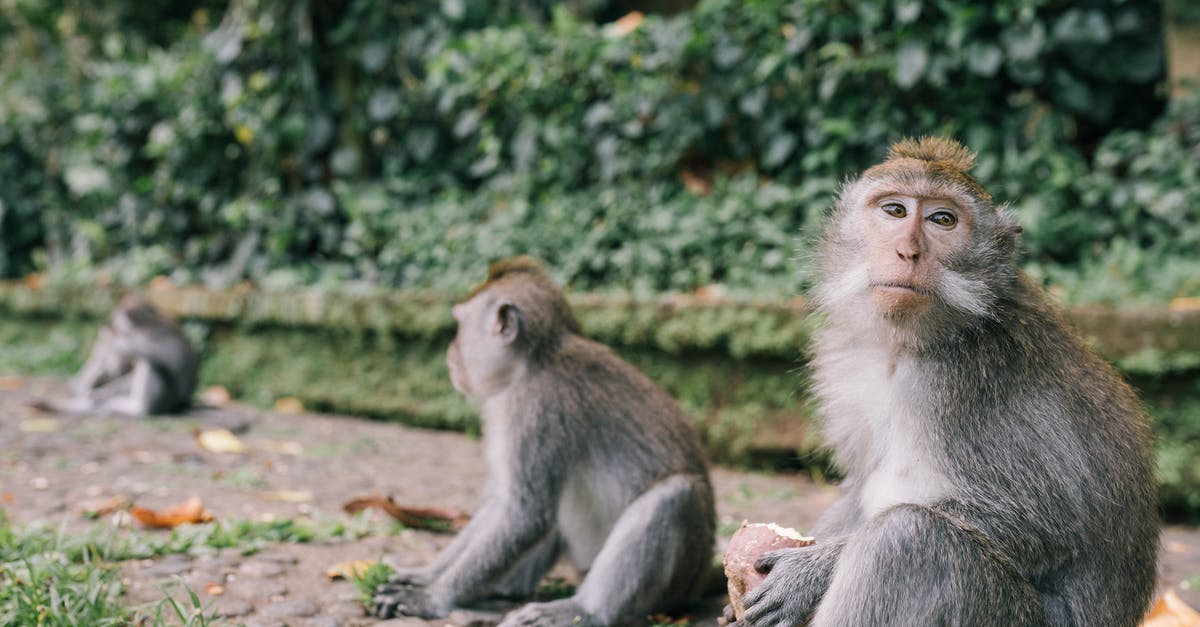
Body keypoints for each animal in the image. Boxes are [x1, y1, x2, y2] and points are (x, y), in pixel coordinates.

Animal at [37, 294, 198, 417]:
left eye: (115, 318)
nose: (108, 323)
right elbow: (115, 369)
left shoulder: (154, 335)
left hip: (165, 401)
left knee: (153, 364)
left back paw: (137, 409)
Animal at [372, 257, 717, 627]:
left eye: (460, 325)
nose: (450, 350)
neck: (533, 362)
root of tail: (698, 583)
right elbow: (504, 503)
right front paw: (424, 575)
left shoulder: (535, 409)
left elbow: (526, 514)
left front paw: (431, 597)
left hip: (679, 577)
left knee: (674, 495)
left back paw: (585, 610)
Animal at [733, 137, 1158, 626]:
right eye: (895, 211)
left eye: (942, 220)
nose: (908, 252)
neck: (910, 345)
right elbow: (858, 487)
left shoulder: (972, 378)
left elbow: (1043, 521)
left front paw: (809, 573)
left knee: (908, 539)